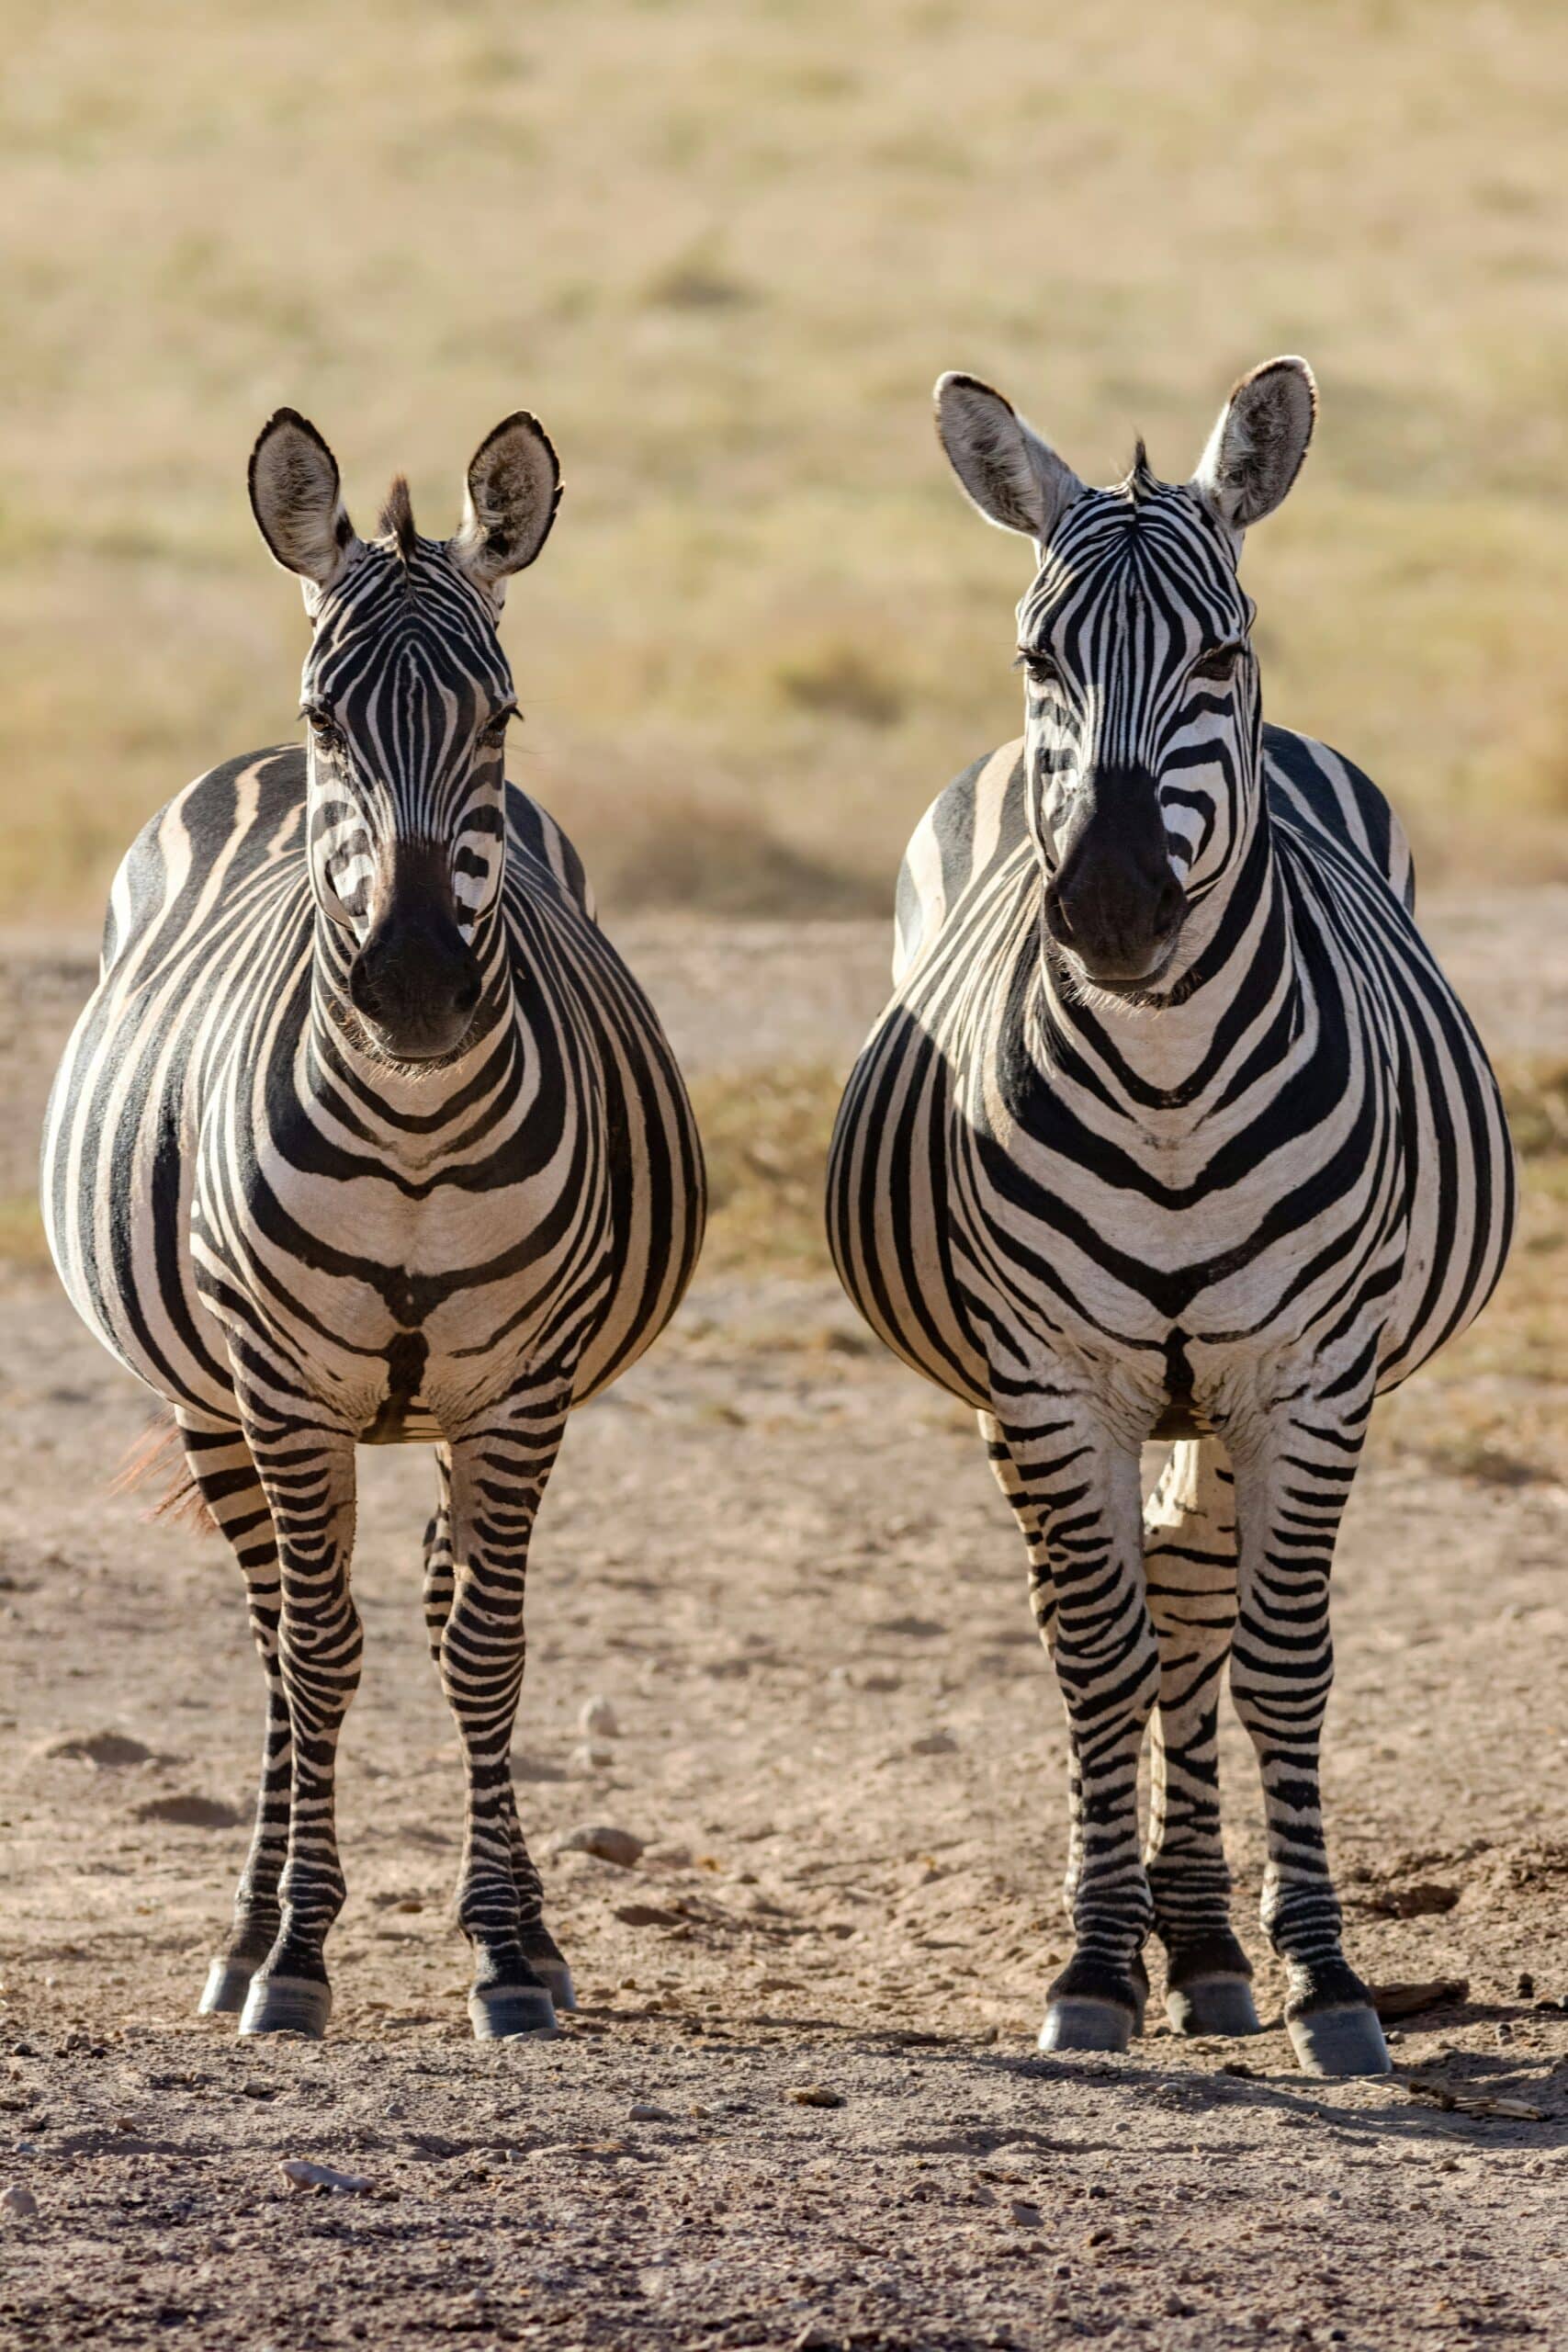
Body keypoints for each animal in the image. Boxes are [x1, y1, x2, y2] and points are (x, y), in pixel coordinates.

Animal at [42, 408, 705, 2042]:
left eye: (502, 715)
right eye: (326, 717)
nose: (409, 991)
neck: (412, 1135)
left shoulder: (521, 1391)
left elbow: (483, 1651)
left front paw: (507, 1955)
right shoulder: (280, 1390)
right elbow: (319, 1653)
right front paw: (292, 1955)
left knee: (429, 1603)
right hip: (210, 1396)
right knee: (278, 1636)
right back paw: (241, 1932)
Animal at [826, 358, 1514, 2077]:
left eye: (1217, 653)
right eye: (1036, 659)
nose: (1112, 909)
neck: (1166, 1085)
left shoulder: (1306, 1379)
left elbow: (1276, 1659)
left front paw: (1324, 1980)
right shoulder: (1045, 1380)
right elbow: (1092, 1652)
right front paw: (1088, 1967)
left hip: (1226, 1392)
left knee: (1198, 1612)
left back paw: (1206, 1948)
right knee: (1132, 1619)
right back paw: (1165, 1938)